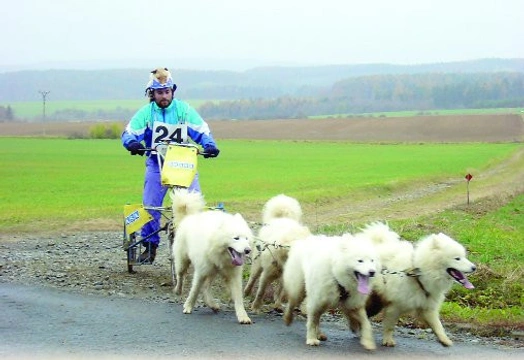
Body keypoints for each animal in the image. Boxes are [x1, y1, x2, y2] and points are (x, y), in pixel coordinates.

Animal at [172, 188, 254, 324]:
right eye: (236, 238)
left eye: (246, 238)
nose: (248, 250)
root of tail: (188, 217)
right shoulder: (200, 272)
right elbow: (194, 291)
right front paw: (188, 306)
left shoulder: (234, 276)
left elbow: (238, 298)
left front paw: (243, 316)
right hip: (184, 262)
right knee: (180, 276)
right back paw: (178, 290)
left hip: (212, 271)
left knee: (206, 288)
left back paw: (212, 304)